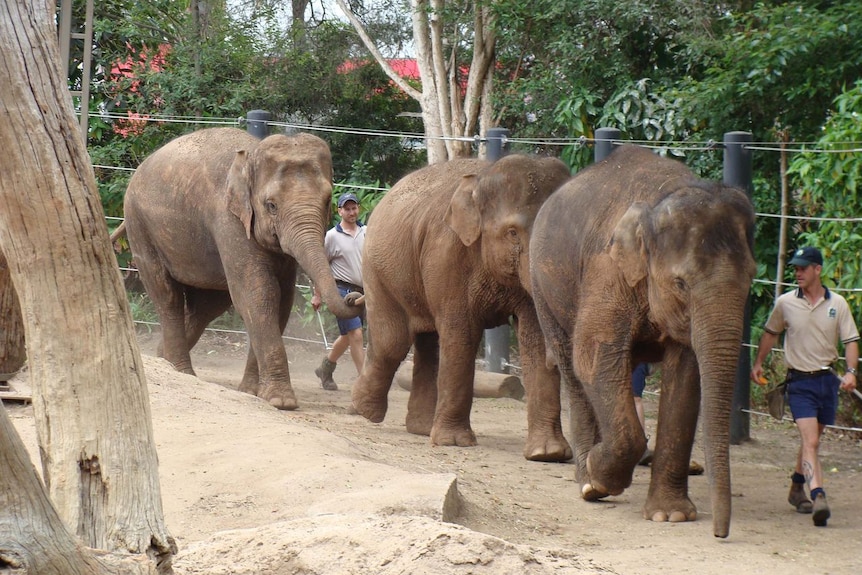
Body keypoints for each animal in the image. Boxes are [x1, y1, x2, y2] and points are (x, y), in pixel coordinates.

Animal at [124, 128, 362, 412]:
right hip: (139, 225)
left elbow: (281, 299)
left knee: (208, 306)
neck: (251, 156)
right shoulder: (228, 219)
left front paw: (251, 392)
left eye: (327, 201)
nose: (354, 296)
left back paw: (164, 359)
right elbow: (259, 292)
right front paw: (281, 401)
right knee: (167, 296)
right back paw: (182, 371)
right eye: (271, 205)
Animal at [348, 154, 576, 464]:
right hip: (378, 269)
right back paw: (364, 410)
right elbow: (462, 334)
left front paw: (548, 454)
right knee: (393, 341)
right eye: (512, 233)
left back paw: (421, 428)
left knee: (428, 344)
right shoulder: (446, 253)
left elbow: (534, 338)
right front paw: (453, 442)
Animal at [528, 145, 760, 540]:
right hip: (544, 288)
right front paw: (600, 477)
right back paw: (586, 481)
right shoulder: (606, 271)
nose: (720, 533)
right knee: (571, 366)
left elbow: (686, 378)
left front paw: (671, 516)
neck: (664, 196)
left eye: (751, 279)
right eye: (681, 283)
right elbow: (594, 356)